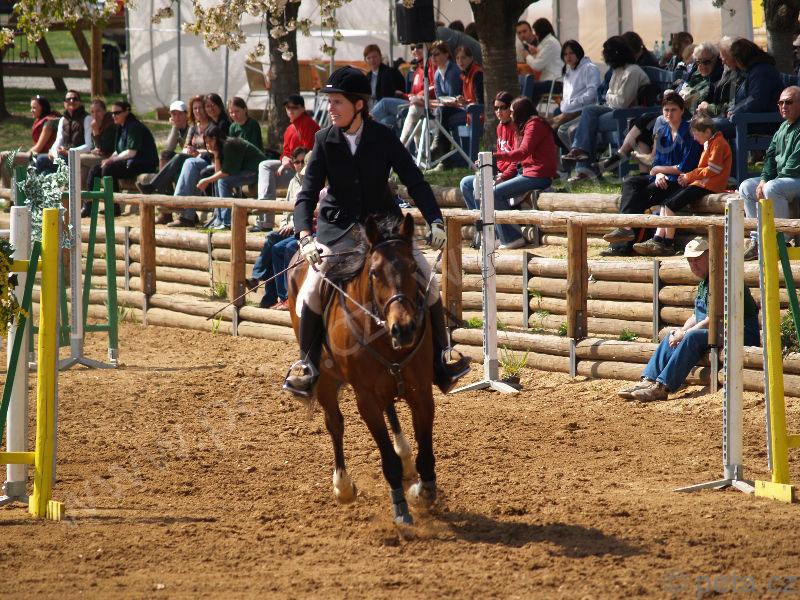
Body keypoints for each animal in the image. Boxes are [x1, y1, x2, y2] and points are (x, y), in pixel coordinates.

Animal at [287, 213, 437, 526]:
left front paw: (423, 490)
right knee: (335, 423)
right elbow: (386, 460)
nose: (404, 329)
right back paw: (343, 486)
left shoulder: (421, 391)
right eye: (375, 273)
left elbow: (426, 451)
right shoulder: (365, 399)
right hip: (325, 380)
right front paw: (401, 509)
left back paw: (405, 456)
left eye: (413, 268)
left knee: (390, 408)